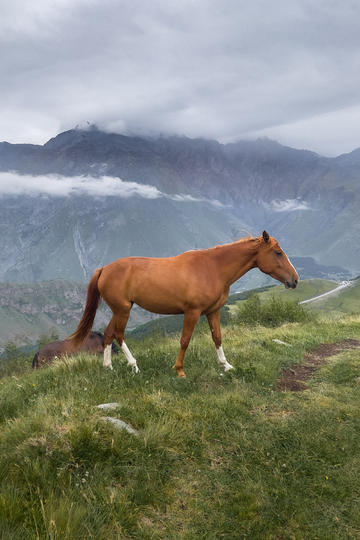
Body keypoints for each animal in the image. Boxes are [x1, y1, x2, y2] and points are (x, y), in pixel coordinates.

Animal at [69, 231, 298, 376]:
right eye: (278, 252)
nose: (294, 280)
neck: (213, 268)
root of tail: (104, 269)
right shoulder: (192, 312)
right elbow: (185, 340)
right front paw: (179, 370)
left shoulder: (213, 311)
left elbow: (217, 337)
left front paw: (226, 365)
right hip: (123, 310)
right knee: (118, 334)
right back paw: (134, 366)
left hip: (119, 310)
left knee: (109, 333)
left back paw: (108, 367)